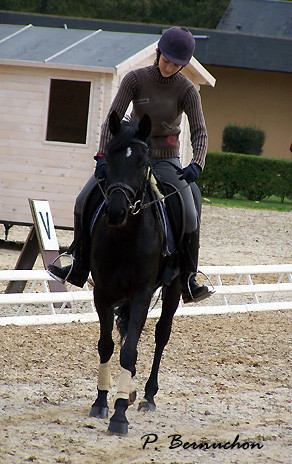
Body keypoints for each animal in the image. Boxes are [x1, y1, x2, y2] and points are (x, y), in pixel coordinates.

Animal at [90, 111, 182, 436]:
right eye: (109, 158)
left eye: (143, 163)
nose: (116, 211)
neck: (125, 235)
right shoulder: (102, 292)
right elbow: (107, 345)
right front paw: (102, 401)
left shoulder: (142, 291)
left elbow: (129, 351)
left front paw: (119, 415)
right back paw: (128, 391)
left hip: (173, 288)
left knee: (161, 334)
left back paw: (147, 396)